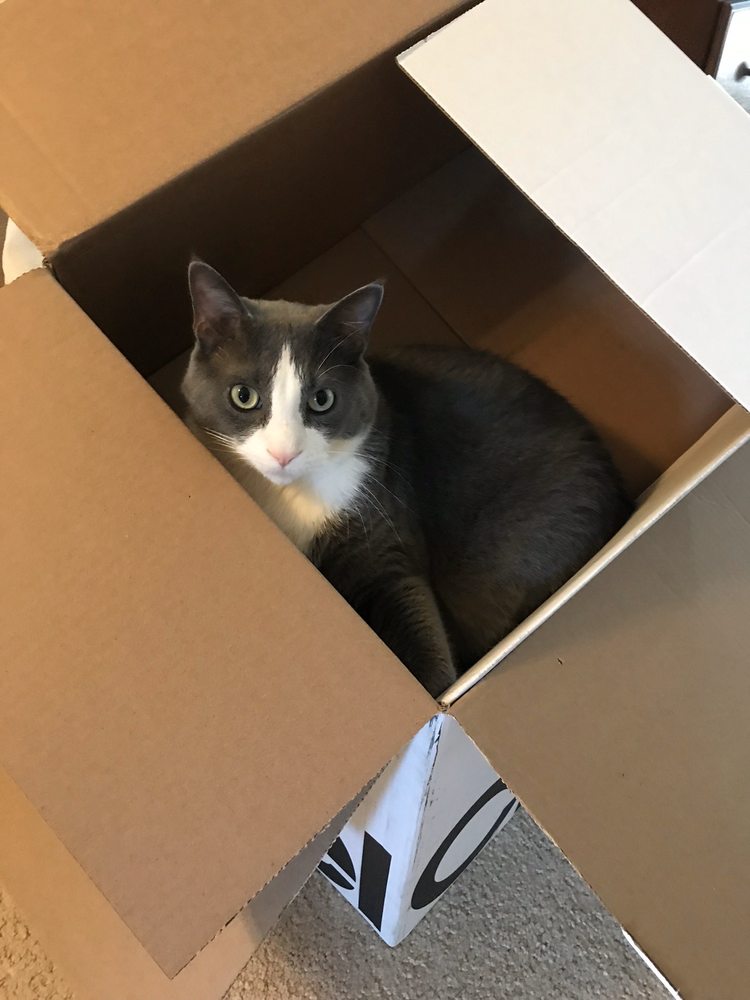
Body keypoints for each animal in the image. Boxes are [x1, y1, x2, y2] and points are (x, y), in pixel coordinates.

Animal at [182, 260, 633, 697]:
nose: (284, 452)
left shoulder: (383, 528)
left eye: (322, 399)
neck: (292, 497)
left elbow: (410, 607)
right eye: (243, 396)